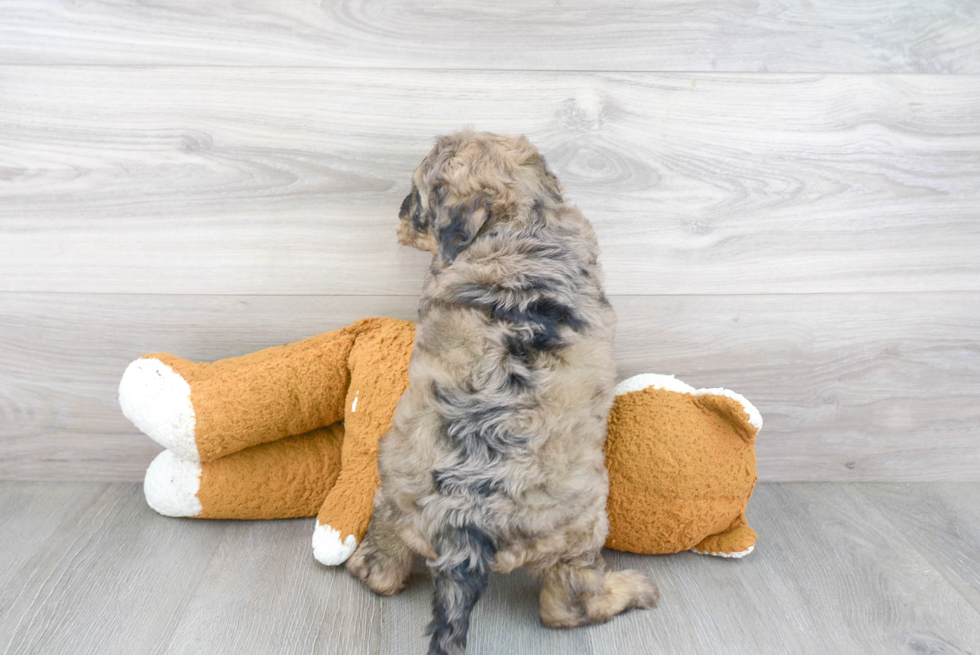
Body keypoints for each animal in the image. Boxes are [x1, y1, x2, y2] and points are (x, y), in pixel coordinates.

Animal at [346, 133, 660, 655]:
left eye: (416, 197)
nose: (399, 214)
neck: (521, 219)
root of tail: (464, 521)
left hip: (393, 483)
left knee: (382, 566)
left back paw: (369, 563)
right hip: (583, 521)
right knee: (565, 603)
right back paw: (631, 589)